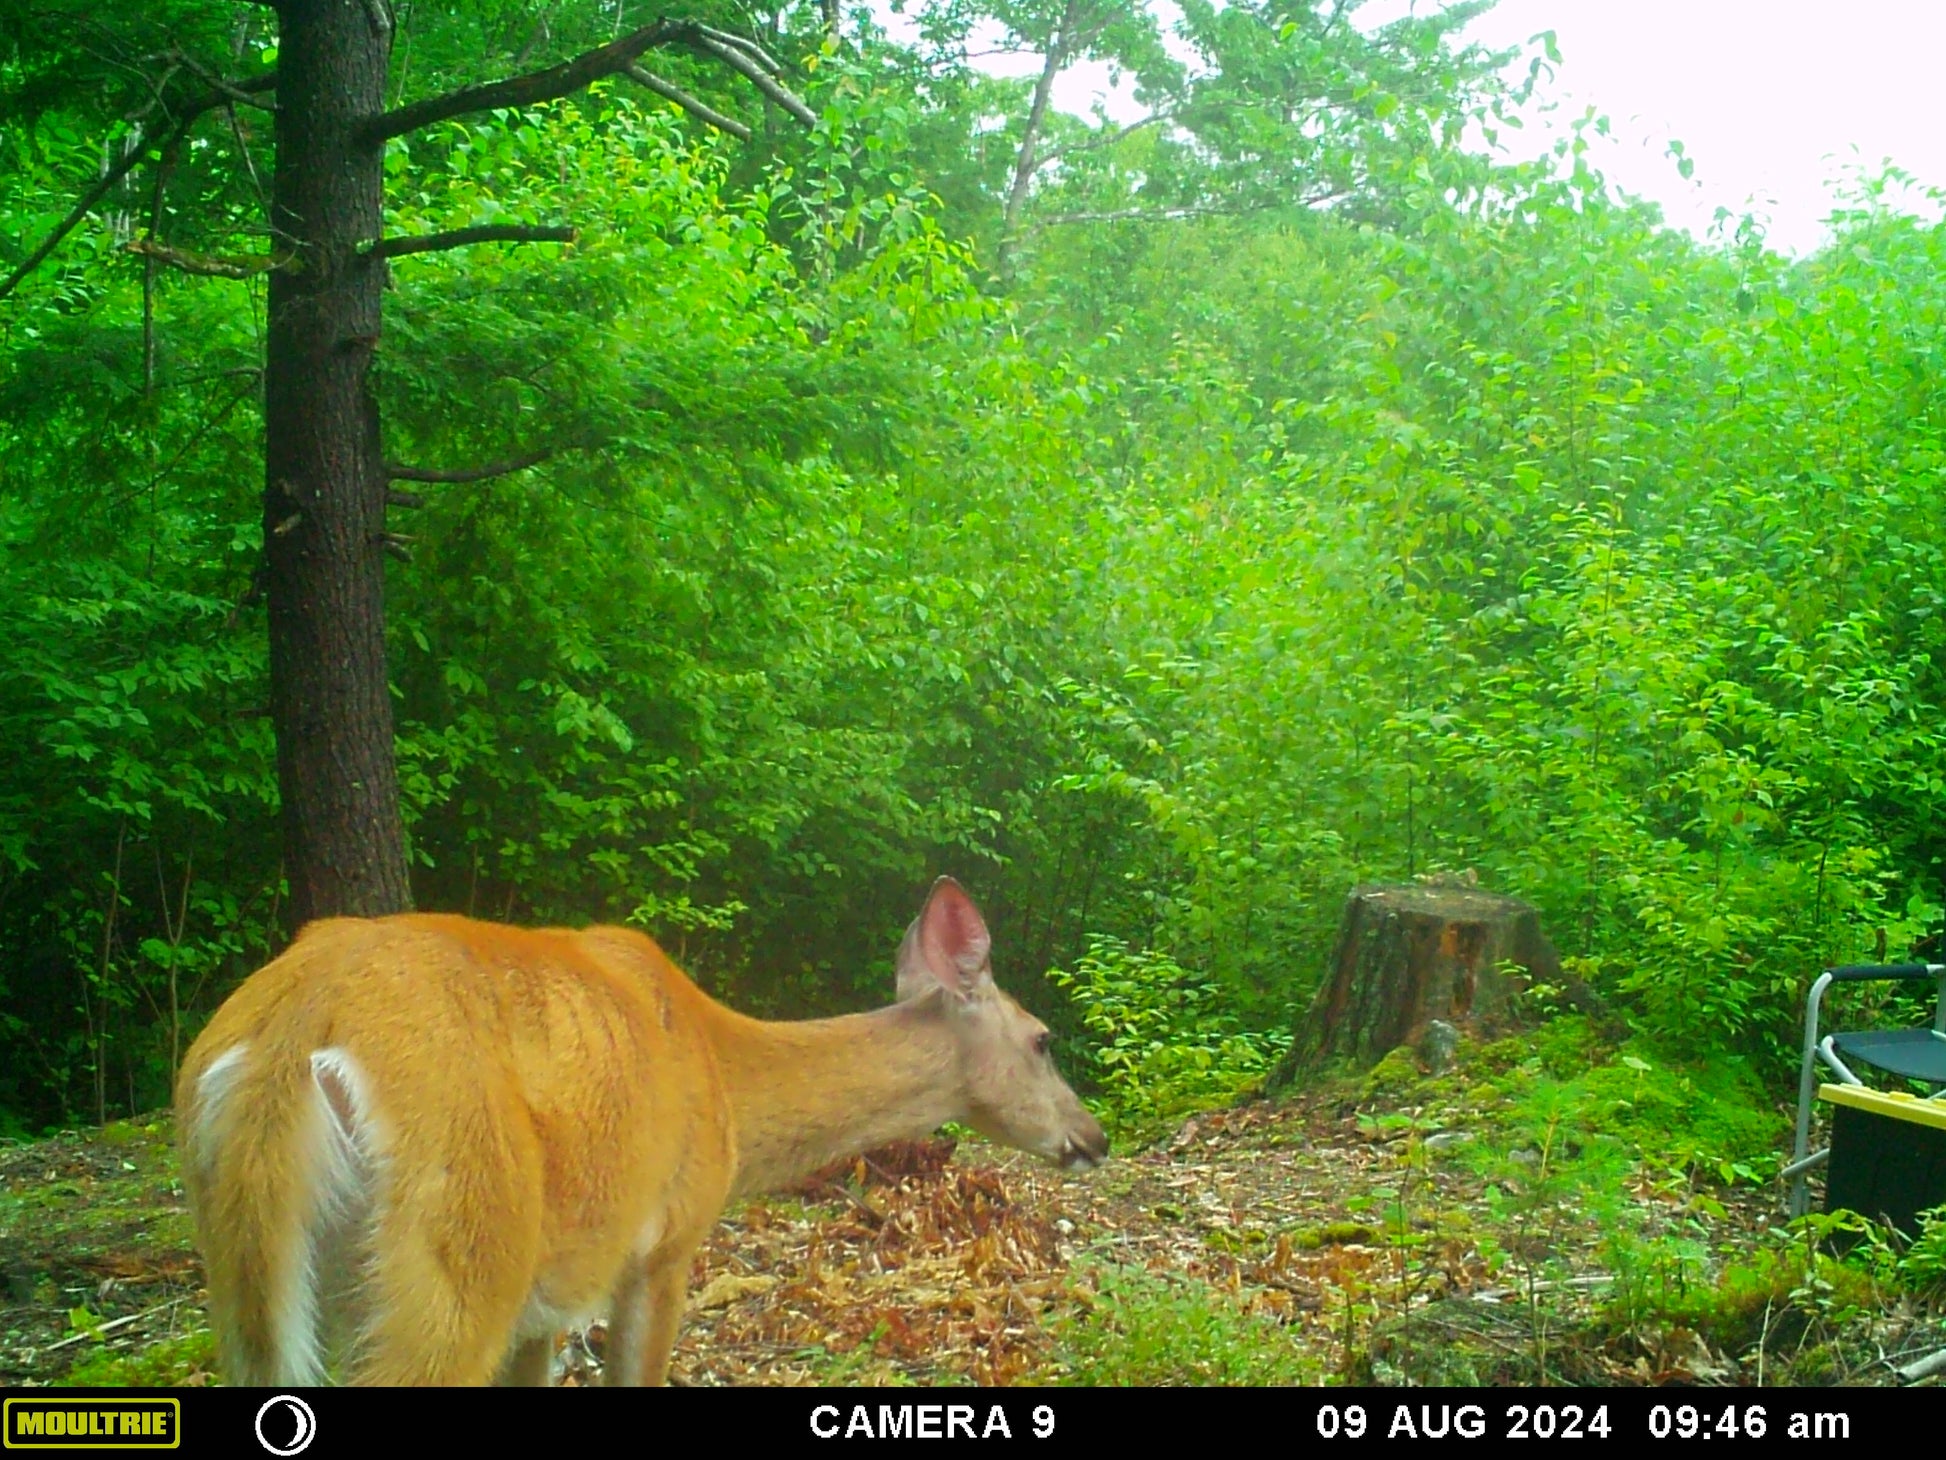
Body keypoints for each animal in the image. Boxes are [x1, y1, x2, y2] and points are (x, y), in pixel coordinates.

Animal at [173, 876, 1106, 1386]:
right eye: (1043, 1040)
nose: (1092, 1137)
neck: (727, 1080)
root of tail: (289, 1036)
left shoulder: (543, 1304)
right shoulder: (663, 1242)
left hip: (249, 1286)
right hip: (455, 1255)